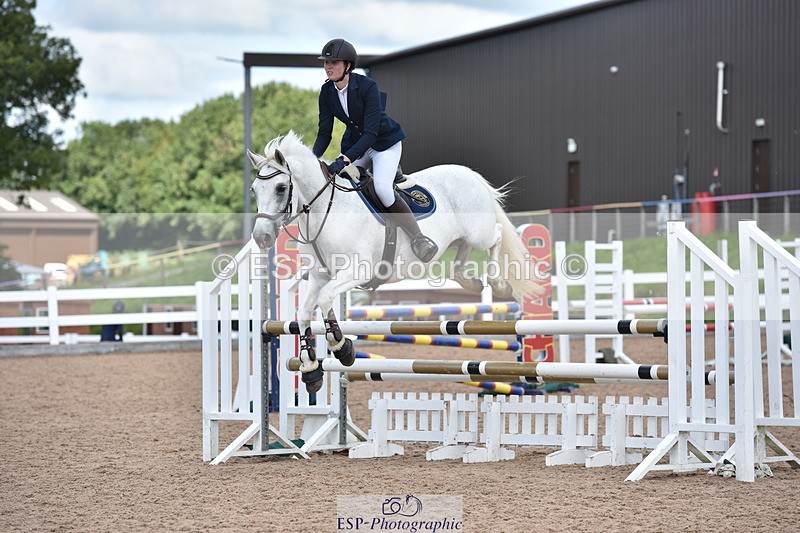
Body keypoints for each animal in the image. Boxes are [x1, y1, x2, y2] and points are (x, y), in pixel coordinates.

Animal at [248, 131, 543, 393]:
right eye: (254, 190)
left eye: (281, 188)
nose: (261, 237)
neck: (326, 211)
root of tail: (470, 174)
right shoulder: (320, 274)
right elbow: (305, 313)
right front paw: (311, 370)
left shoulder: (357, 270)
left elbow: (325, 299)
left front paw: (342, 348)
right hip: (461, 239)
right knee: (462, 256)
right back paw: (470, 281)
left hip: (478, 233)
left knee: (497, 236)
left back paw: (499, 284)